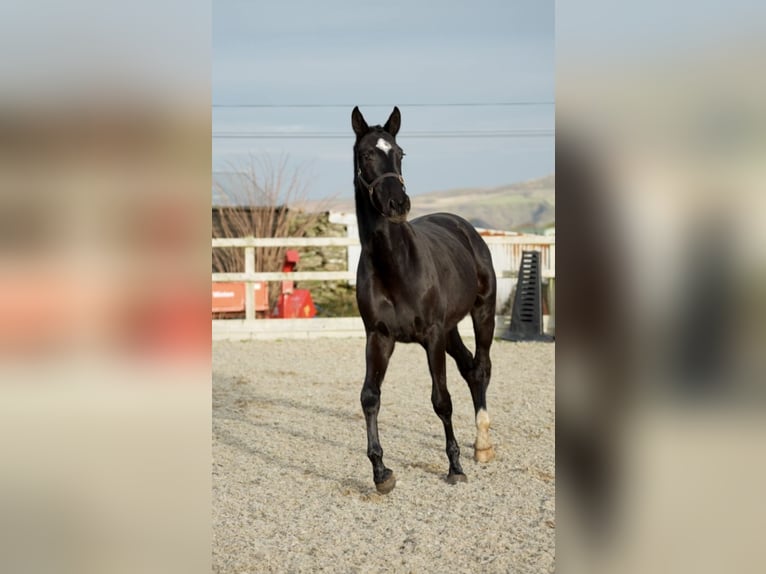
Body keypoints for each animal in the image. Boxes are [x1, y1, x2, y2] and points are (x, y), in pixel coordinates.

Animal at [352, 106, 497, 494]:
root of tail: (464, 227)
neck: (395, 265)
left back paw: (483, 445)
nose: (398, 204)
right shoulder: (379, 338)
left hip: (483, 313)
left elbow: (441, 400)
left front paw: (455, 467)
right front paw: (380, 472)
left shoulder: (431, 336)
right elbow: (370, 397)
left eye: (400, 153)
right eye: (366, 154)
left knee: (482, 366)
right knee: (470, 368)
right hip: (451, 330)